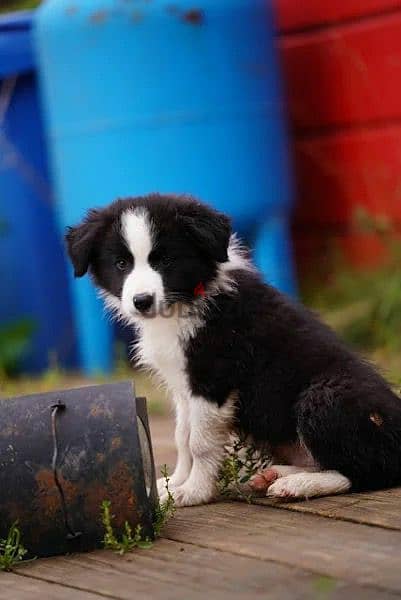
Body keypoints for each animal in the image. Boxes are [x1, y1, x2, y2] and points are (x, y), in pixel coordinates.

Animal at [65, 195, 400, 504]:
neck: (187, 302)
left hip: (325, 397)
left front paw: (194, 492)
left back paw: (299, 485)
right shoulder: (183, 386)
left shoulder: (213, 379)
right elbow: (182, 437)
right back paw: (276, 475)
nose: (142, 301)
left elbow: (200, 443)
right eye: (121, 264)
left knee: (369, 472)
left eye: (166, 260)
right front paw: (173, 485)